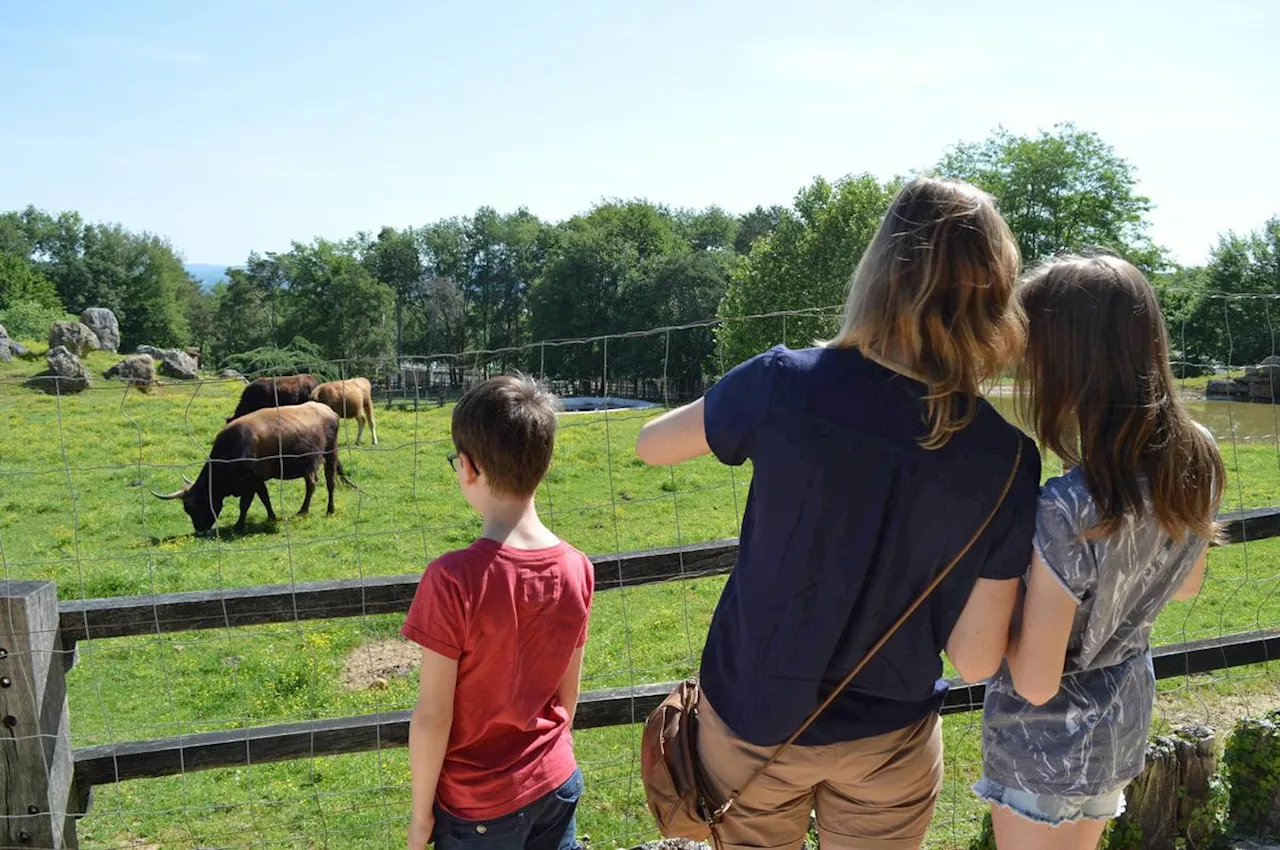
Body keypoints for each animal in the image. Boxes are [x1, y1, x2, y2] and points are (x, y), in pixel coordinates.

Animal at [152, 401, 353, 535]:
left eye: (193, 506)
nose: (200, 531)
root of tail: (328, 410)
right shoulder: (258, 480)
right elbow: (265, 498)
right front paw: (272, 517)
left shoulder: (251, 480)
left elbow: (245, 504)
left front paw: (239, 526)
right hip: (309, 463)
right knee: (313, 483)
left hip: (330, 454)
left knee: (328, 482)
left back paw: (323, 510)